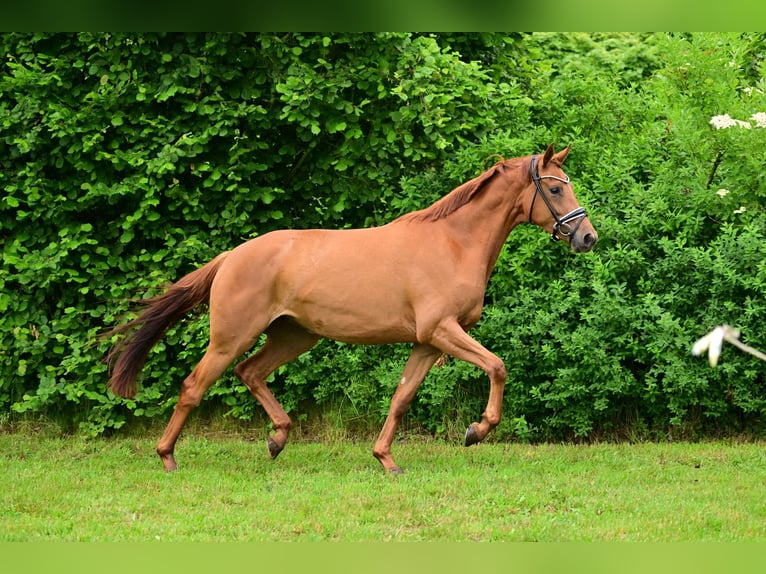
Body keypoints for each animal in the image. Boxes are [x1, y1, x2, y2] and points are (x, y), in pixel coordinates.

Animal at [106, 145, 600, 476]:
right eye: (554, 188)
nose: (587, 237)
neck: (454, 243)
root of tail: (232, 256)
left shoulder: (426, 342)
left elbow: (401, 398)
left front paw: (386, 460)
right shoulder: (442, 330)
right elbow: (497, 366)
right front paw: (476, 431)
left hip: (294, 335)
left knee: (250, 372)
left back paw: (277, 439)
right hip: (232, 337)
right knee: (195, 386)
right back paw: (168, 457)